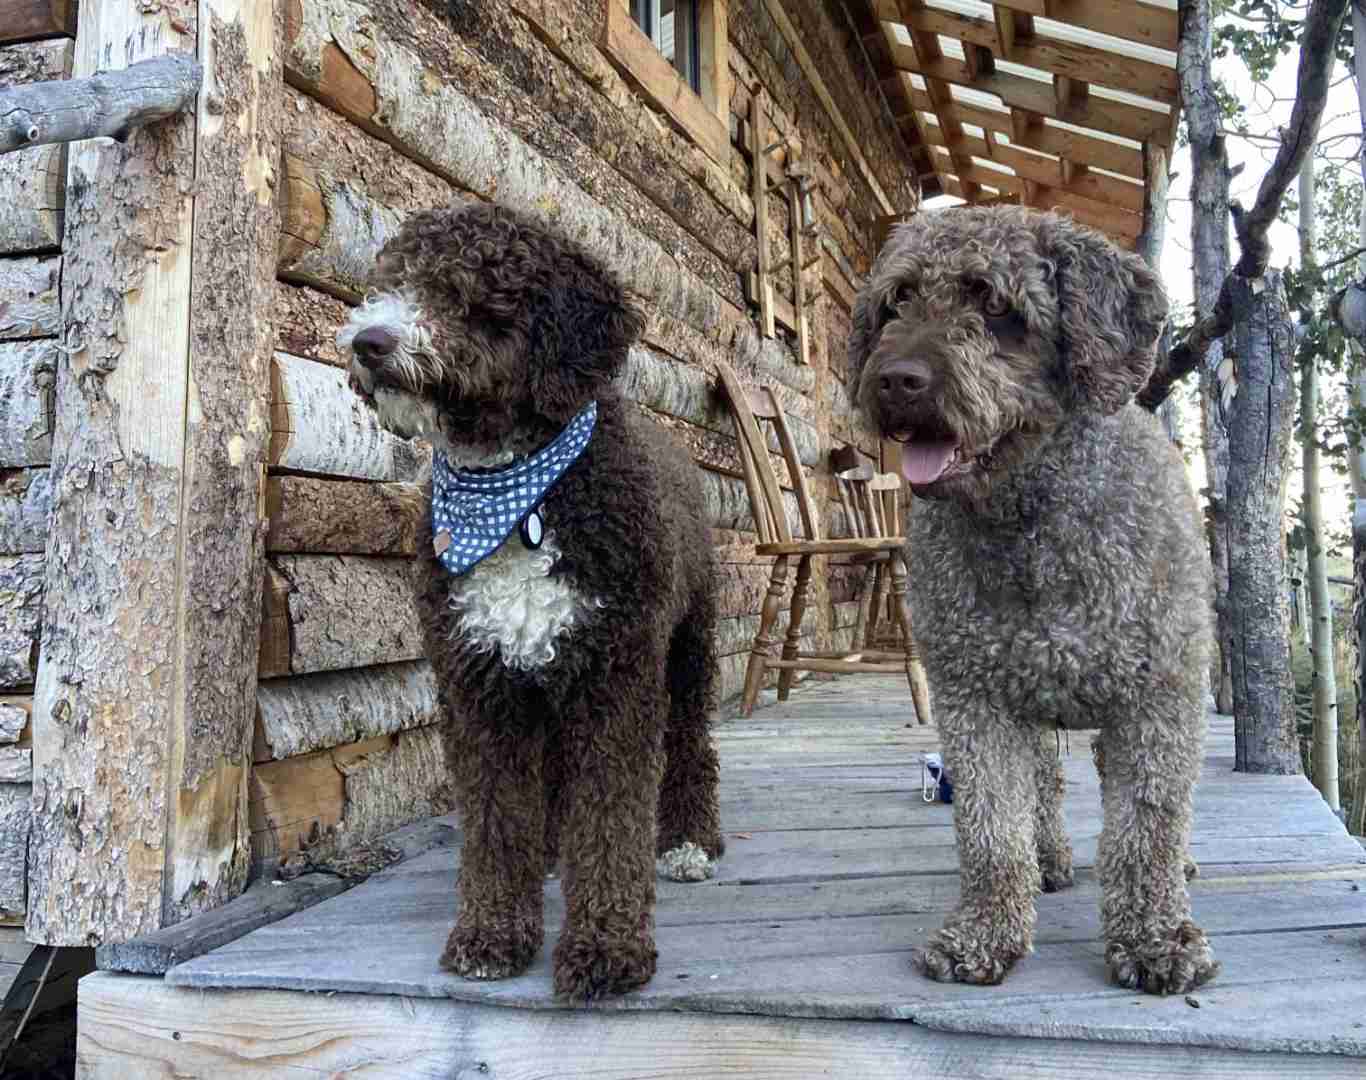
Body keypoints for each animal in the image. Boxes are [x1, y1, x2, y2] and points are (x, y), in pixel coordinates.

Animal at [341, 204, 726, 1004]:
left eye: (470, 294)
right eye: (391, 280)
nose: (369, 341)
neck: (516, 495)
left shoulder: (616, 678)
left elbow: (610, 819)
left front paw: (606, 948)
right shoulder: (478, 684)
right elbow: (497, 821)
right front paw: (491, 934)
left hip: (687, 650)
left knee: (690, 746)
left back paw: (686, 841)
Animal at [852, 207, 1218, 999]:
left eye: (995, 304)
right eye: (898, 301)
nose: (897, 381)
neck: (1030, 527)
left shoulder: (1158, 702)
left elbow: (1147, 827)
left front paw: (1155, 936)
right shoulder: (976, 702)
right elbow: (993, 831)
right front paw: (987, 932)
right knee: (1045, 788)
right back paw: (1049, 859)